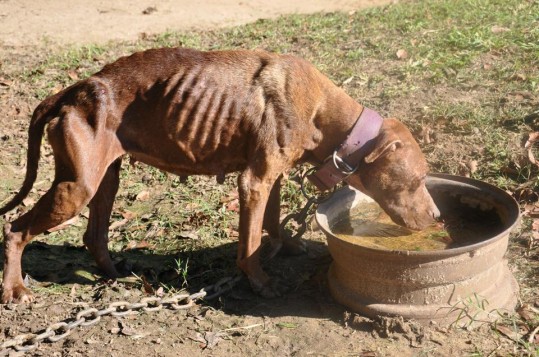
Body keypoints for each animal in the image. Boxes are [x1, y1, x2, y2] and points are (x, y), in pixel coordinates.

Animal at [0, 48, 440, 304]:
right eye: (419, 179)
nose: (438, 217)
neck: (327, 115)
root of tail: (72, 91)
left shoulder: (271, 179)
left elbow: (272, 222)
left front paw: (285, 246)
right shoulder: (254, 181)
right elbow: (249, 244)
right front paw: (260, 282)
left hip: (104, 179)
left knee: (94, 236)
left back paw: (113, 275)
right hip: (76, 188)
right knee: (16, 228)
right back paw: (15, 288)